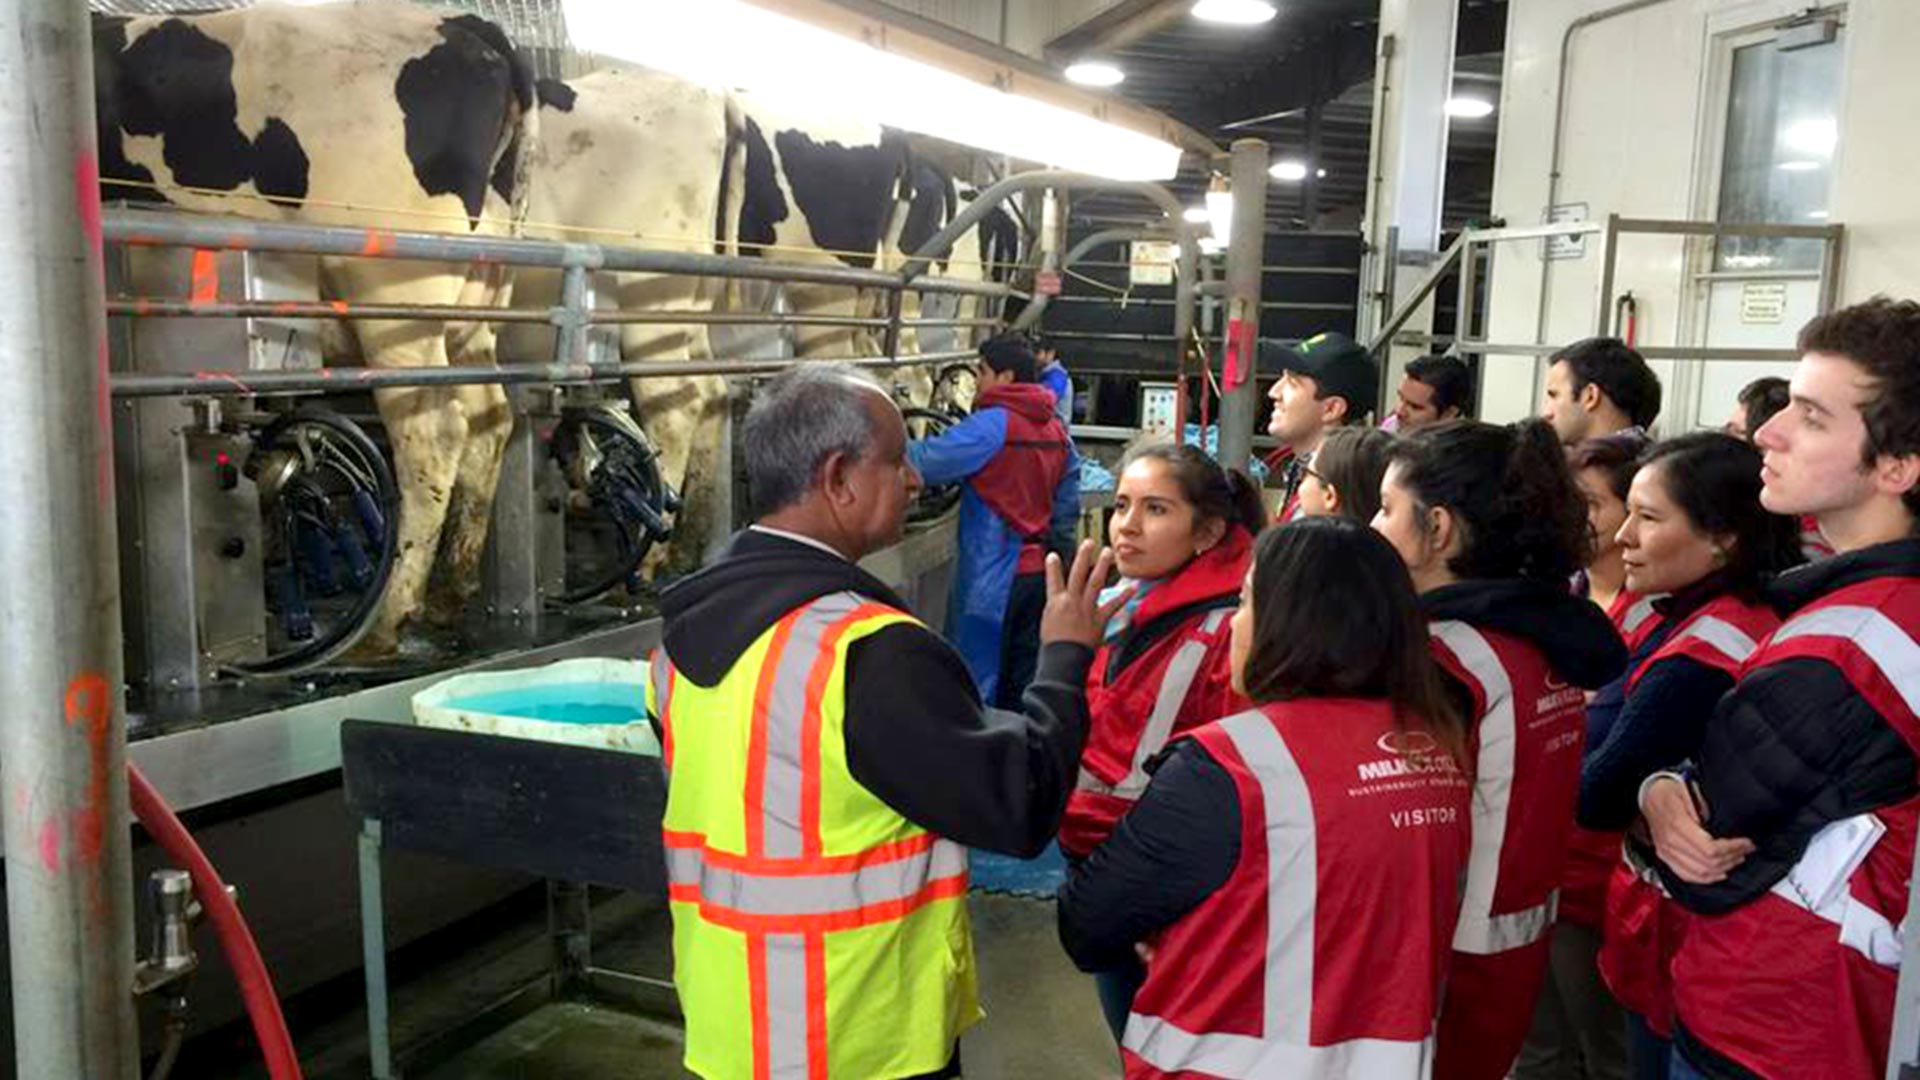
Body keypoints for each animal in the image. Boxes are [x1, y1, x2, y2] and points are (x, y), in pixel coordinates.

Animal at [94, 4, 537, 653]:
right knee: (489, 417)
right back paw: (448, 595)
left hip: (396, 293)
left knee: (431, 433)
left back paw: (388, 619)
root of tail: (465, 26)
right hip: (475, 300)